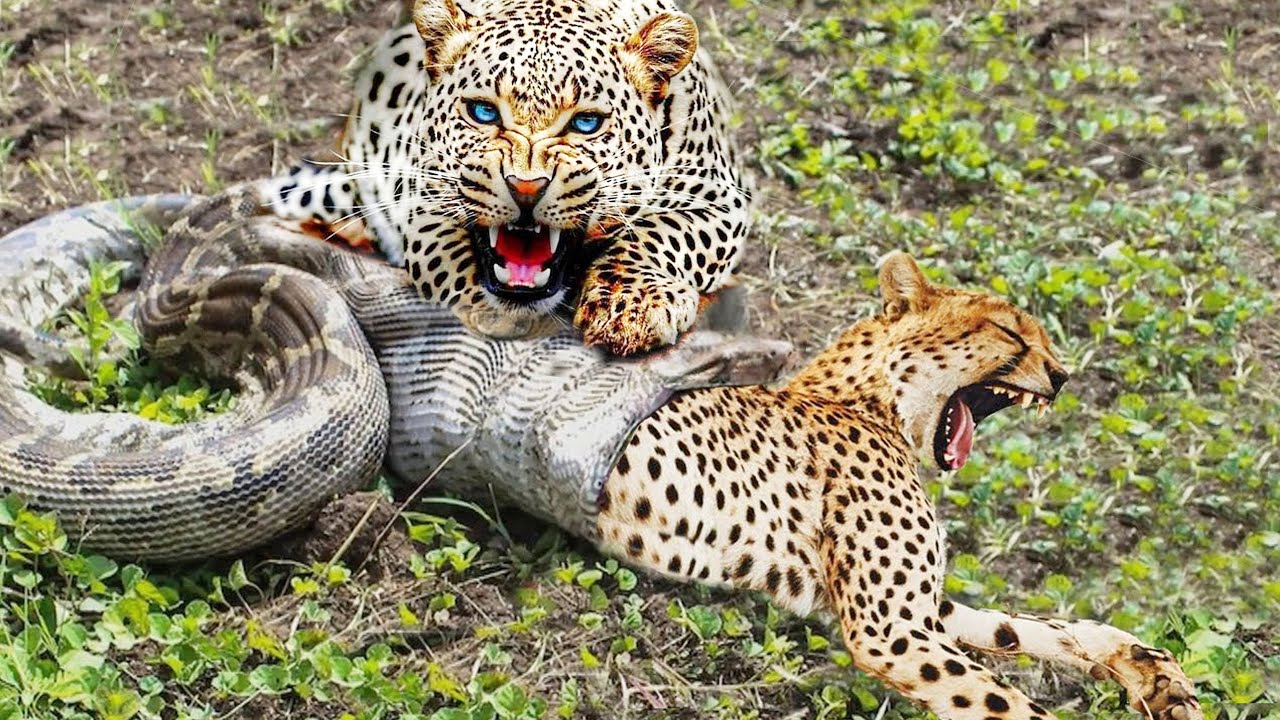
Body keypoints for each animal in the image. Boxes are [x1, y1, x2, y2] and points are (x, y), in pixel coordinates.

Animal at [263, 0, 750, 356]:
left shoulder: (720, 197)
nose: (526, 188)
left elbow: (660, 235)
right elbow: (446, 260)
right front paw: (488, 311)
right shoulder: (422, 203)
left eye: (586, 123)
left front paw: (630, 305)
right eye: (483, 112)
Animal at [595, 252, 1202, 720]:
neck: (872, 402)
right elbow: (1008, 701)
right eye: (1009, 332)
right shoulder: (892, 626)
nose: (1061, 375)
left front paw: (1149, 668)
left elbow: (1021, 628)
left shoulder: (911, 610)